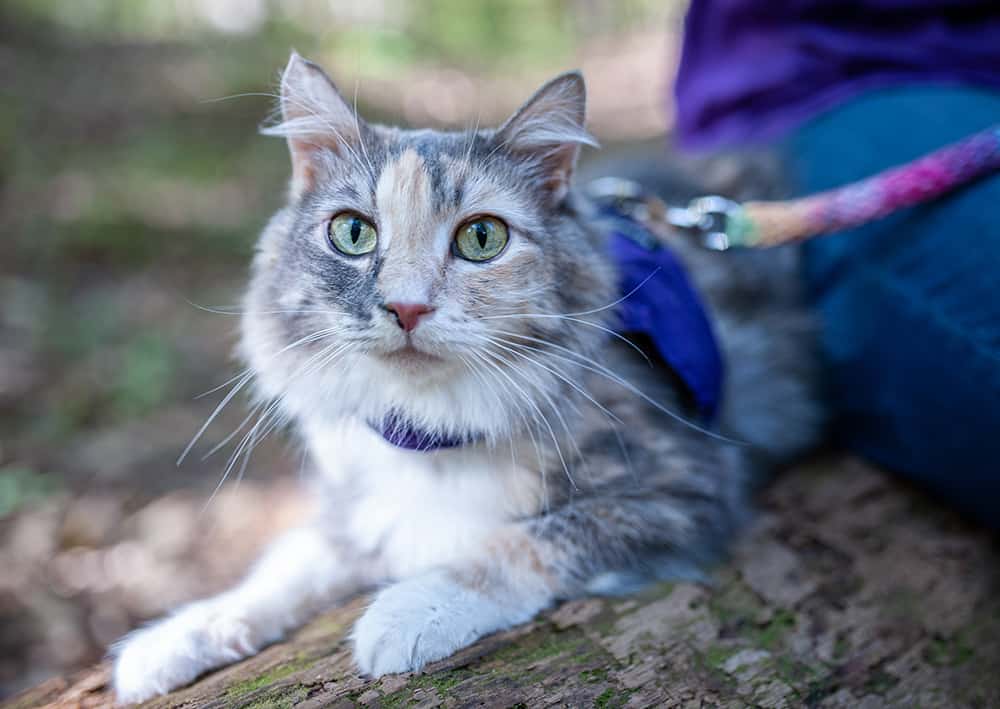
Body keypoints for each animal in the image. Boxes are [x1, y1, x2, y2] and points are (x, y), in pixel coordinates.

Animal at [113, 52, 824, 700]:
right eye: (352, 233)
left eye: (481, 238)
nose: (405, 307)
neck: (430, 432)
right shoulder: (353, 509)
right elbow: (281, 570)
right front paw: (174, 639)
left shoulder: (685, 494)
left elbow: (517, 544)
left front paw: (408, 611)